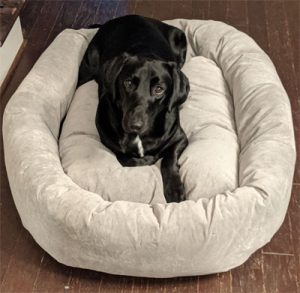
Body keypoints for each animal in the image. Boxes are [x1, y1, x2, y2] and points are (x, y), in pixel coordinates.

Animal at [78, 14, 190, 202]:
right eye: (128, 83)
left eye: (159, 89)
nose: (135, 125)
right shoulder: (108, 139)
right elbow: (125, 159)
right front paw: (148, 160)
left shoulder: (179, 138)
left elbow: (169, 159)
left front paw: (174, 189)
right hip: (87, 68)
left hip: (180, 38)